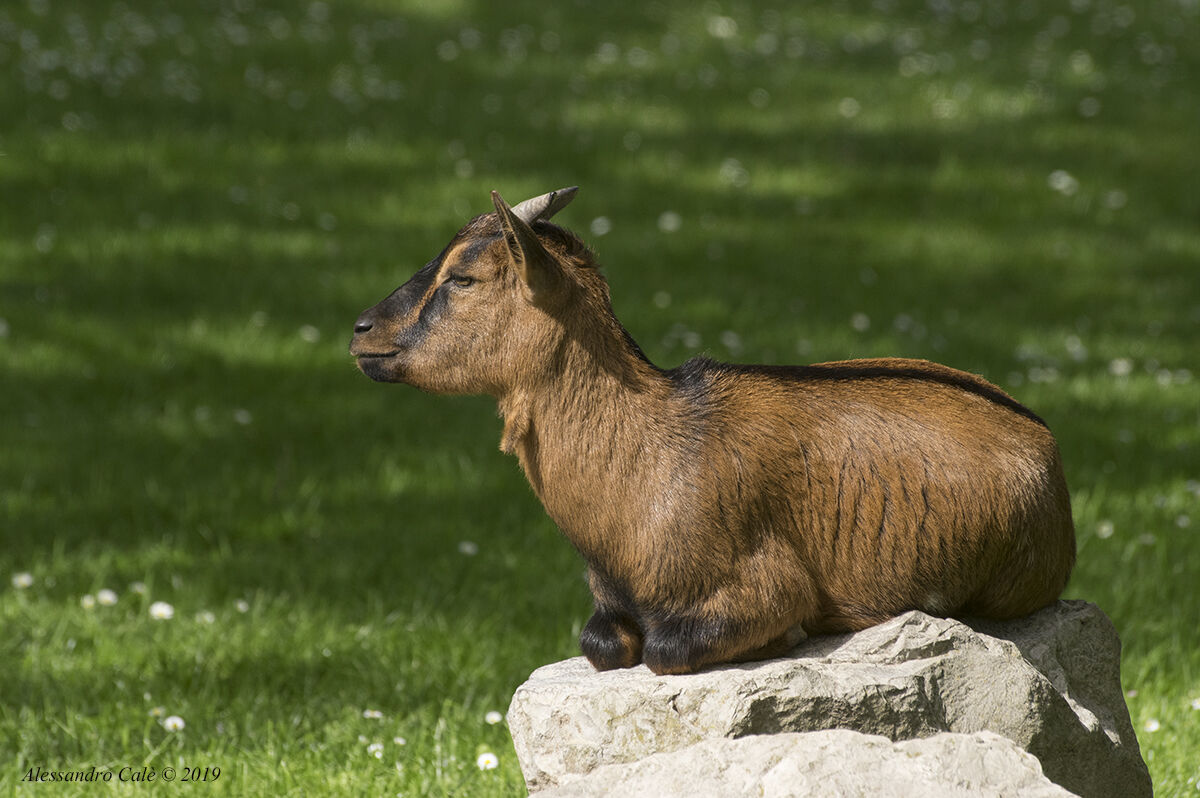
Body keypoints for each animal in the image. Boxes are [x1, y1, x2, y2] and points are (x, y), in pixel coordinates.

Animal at [350, 187, 1076, 675]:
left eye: (462, 277)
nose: (361, 331)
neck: (646, 456)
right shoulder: (606, 603)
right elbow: (601, 644)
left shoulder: (760, 583)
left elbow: (669, 647)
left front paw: (791, 638)